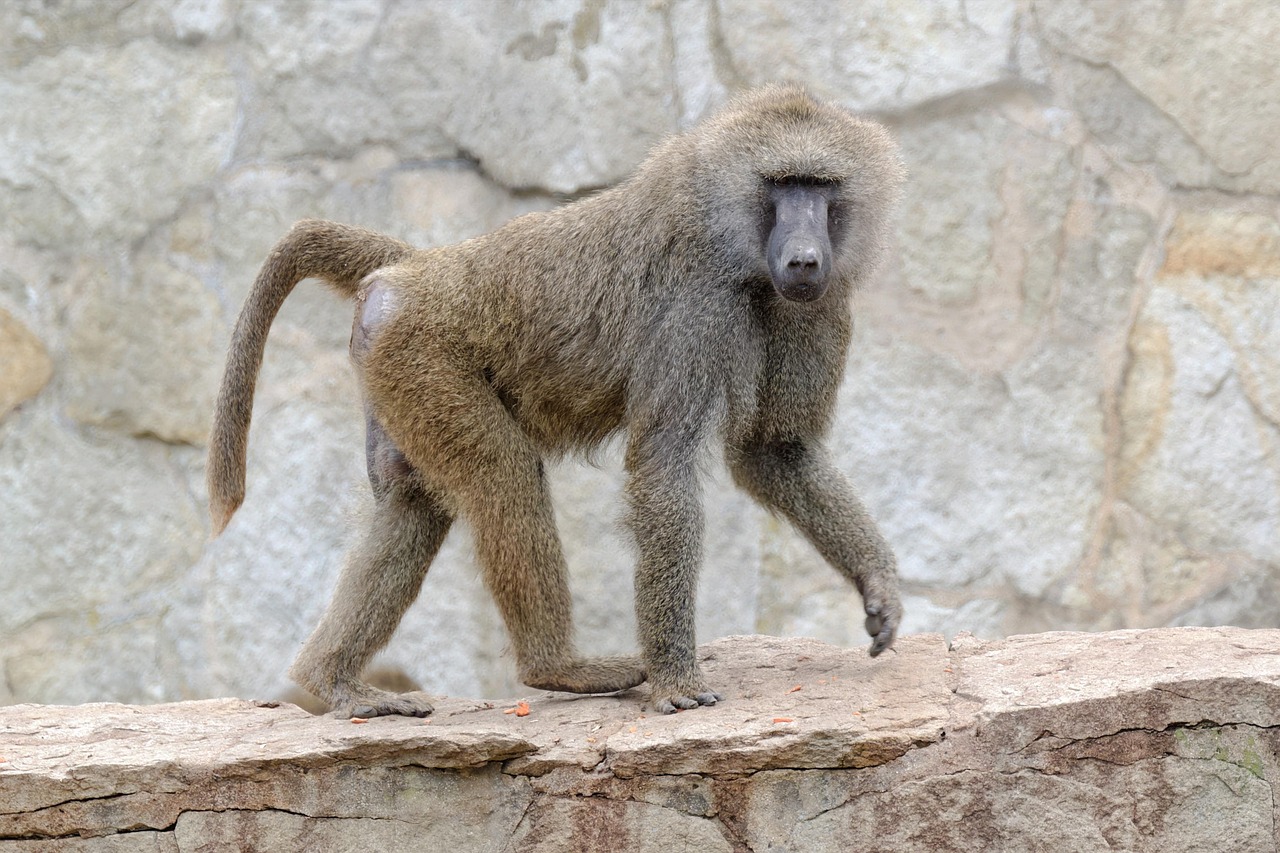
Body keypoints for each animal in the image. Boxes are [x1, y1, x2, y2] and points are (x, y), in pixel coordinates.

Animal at [208, 84, 906, 717]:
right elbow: (665, 467)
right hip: (423, 356)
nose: (805, 259)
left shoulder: (820, 305)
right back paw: (559, 669)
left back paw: (333, 682)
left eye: (820, 186)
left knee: (411, 503)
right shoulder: (693, 307)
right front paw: (676, 680)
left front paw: (878, 589)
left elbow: (776, 451)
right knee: (503, 473)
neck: (740, 253)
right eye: (783, 186)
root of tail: (418, 270)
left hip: (391, 374)